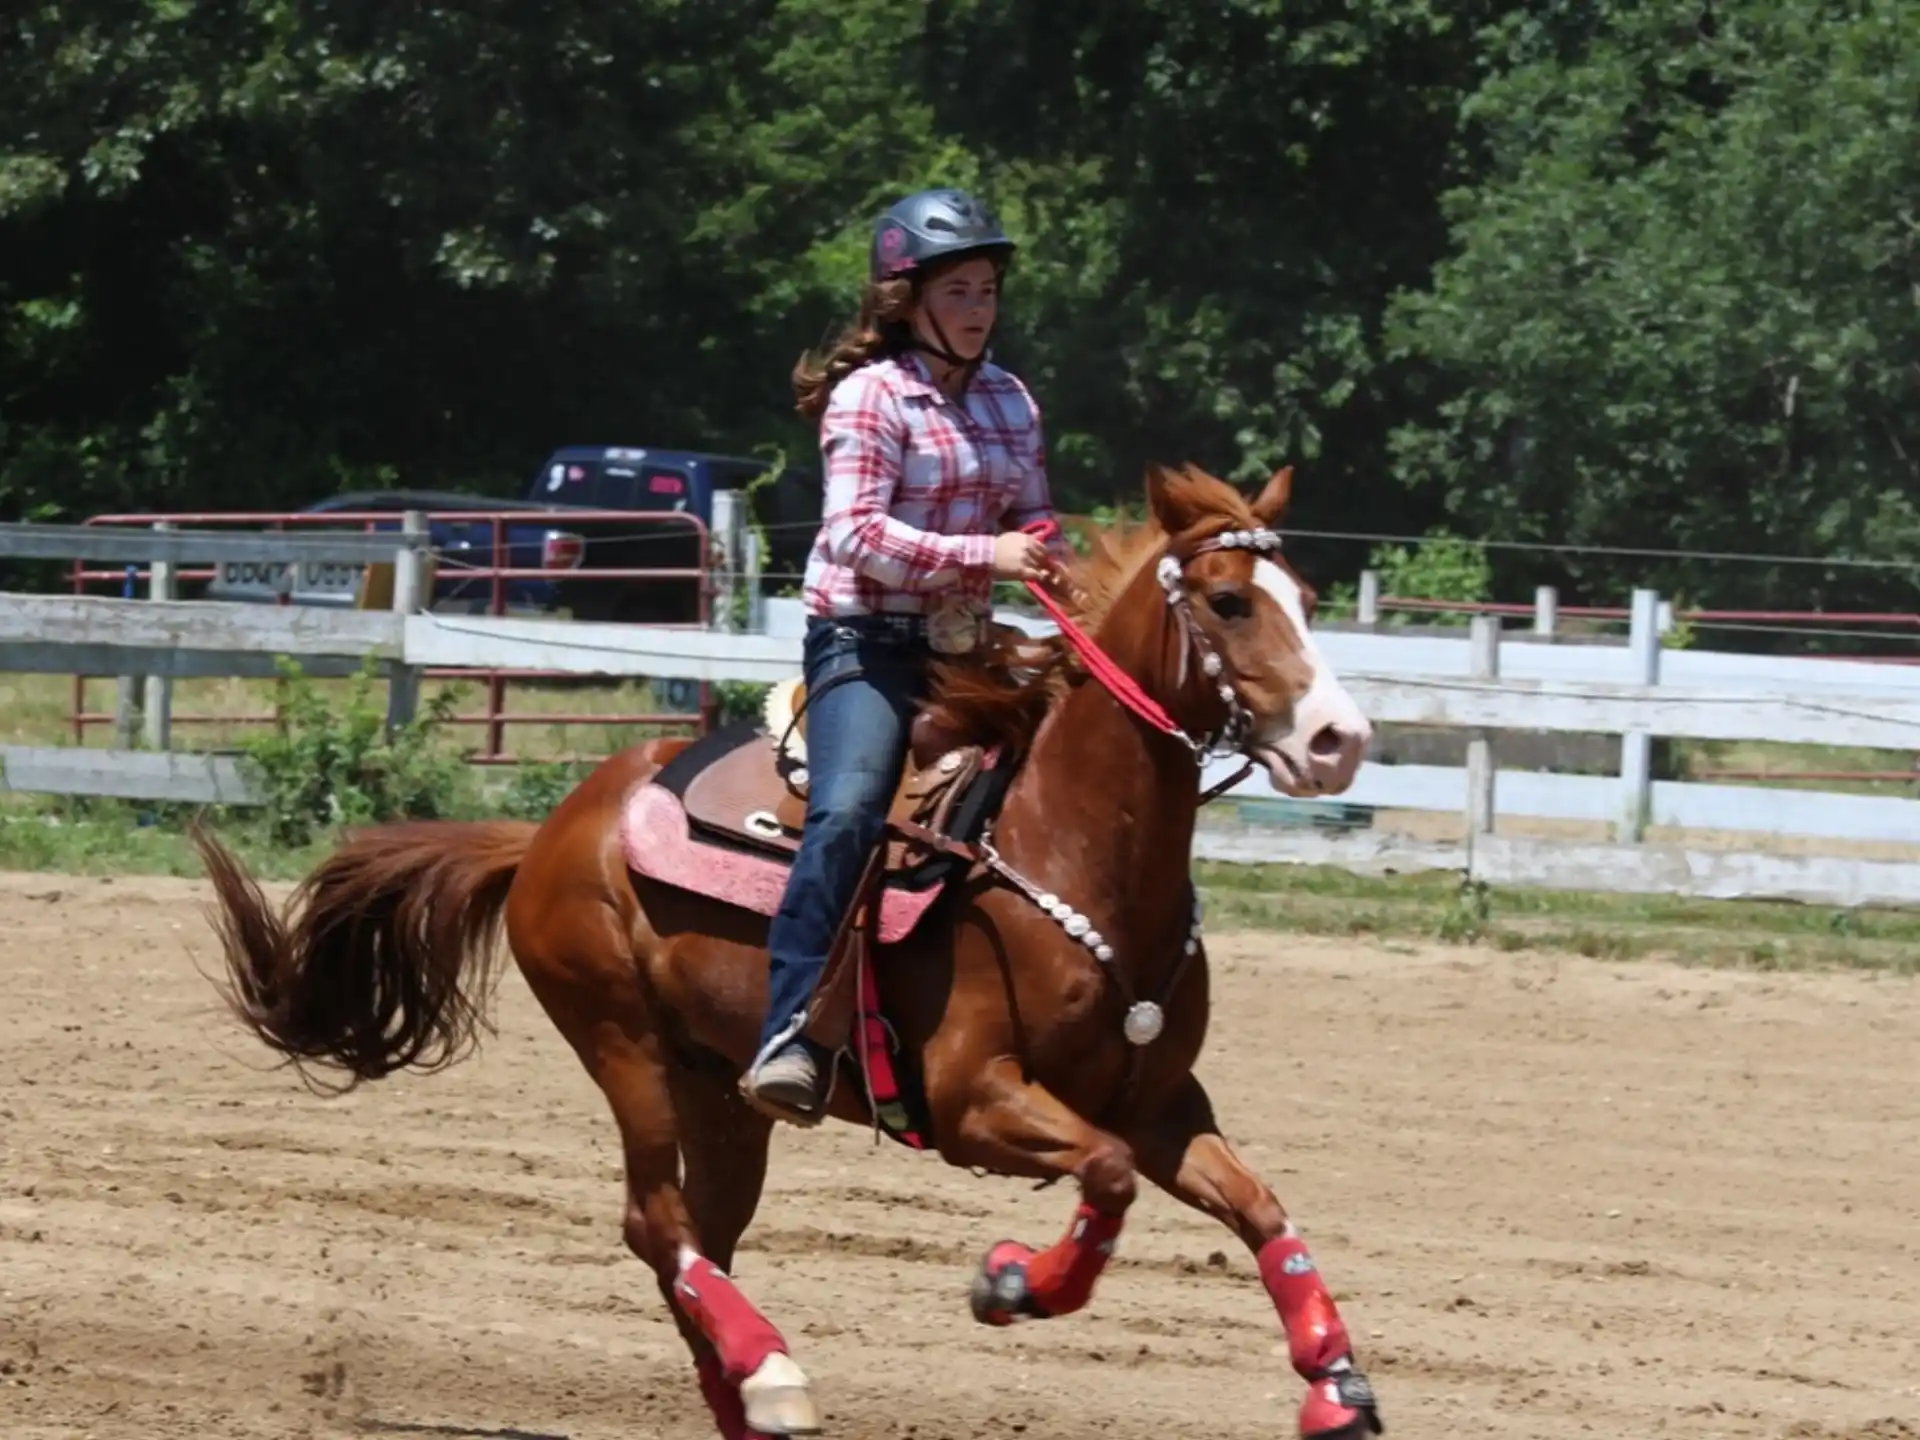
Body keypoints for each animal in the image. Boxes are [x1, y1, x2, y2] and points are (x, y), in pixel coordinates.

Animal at [192, 459, 1385, 1439]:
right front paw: (1011, 1283)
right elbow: (1106, 1174)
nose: (1340, 741)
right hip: (622, 1042)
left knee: (700, 1241)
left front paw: (1337, 1386)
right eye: (1229, 601)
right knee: (653, 1221)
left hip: (721, 1091)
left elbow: (1259, 1207)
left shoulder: (1163, 1103)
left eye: (1305, 598)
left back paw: (745, 1393)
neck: (1067, 846)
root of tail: (549, 832)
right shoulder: (973, 1100)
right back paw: (772, 1374)